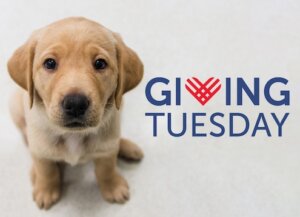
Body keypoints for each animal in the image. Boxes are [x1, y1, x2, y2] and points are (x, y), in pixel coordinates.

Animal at [7, 17, 143, 210]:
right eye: (50, 63)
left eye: (100, 63)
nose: (76, 104)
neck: (73, 134)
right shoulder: (41, 149)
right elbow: (46, 169)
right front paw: (46, 189)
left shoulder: (106, 150)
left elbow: (106, 169)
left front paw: (112, 186)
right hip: (15, 106)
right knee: (28, 137)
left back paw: (126, 147)